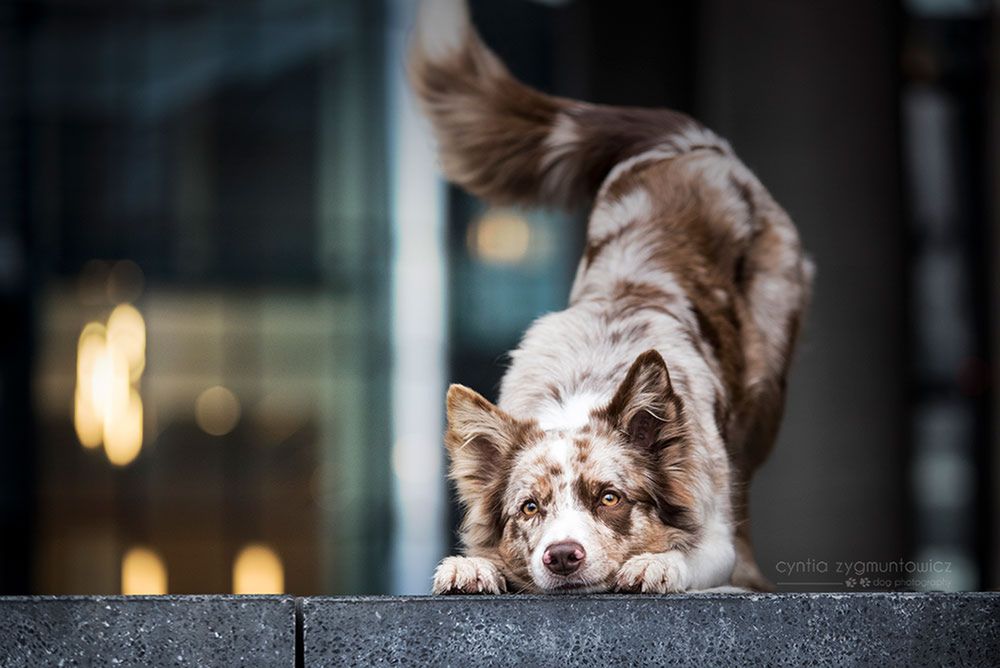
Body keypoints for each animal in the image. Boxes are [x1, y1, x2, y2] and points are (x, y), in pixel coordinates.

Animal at [414, 0, 812, 596]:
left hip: (764, 383)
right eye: (529, 508)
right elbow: (486, 555)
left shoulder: (709, 518)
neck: (581, 386)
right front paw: (470, 565)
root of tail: (687, 142)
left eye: (609, 498)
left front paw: (656, 562)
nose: (562, 556)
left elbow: (693, 550)